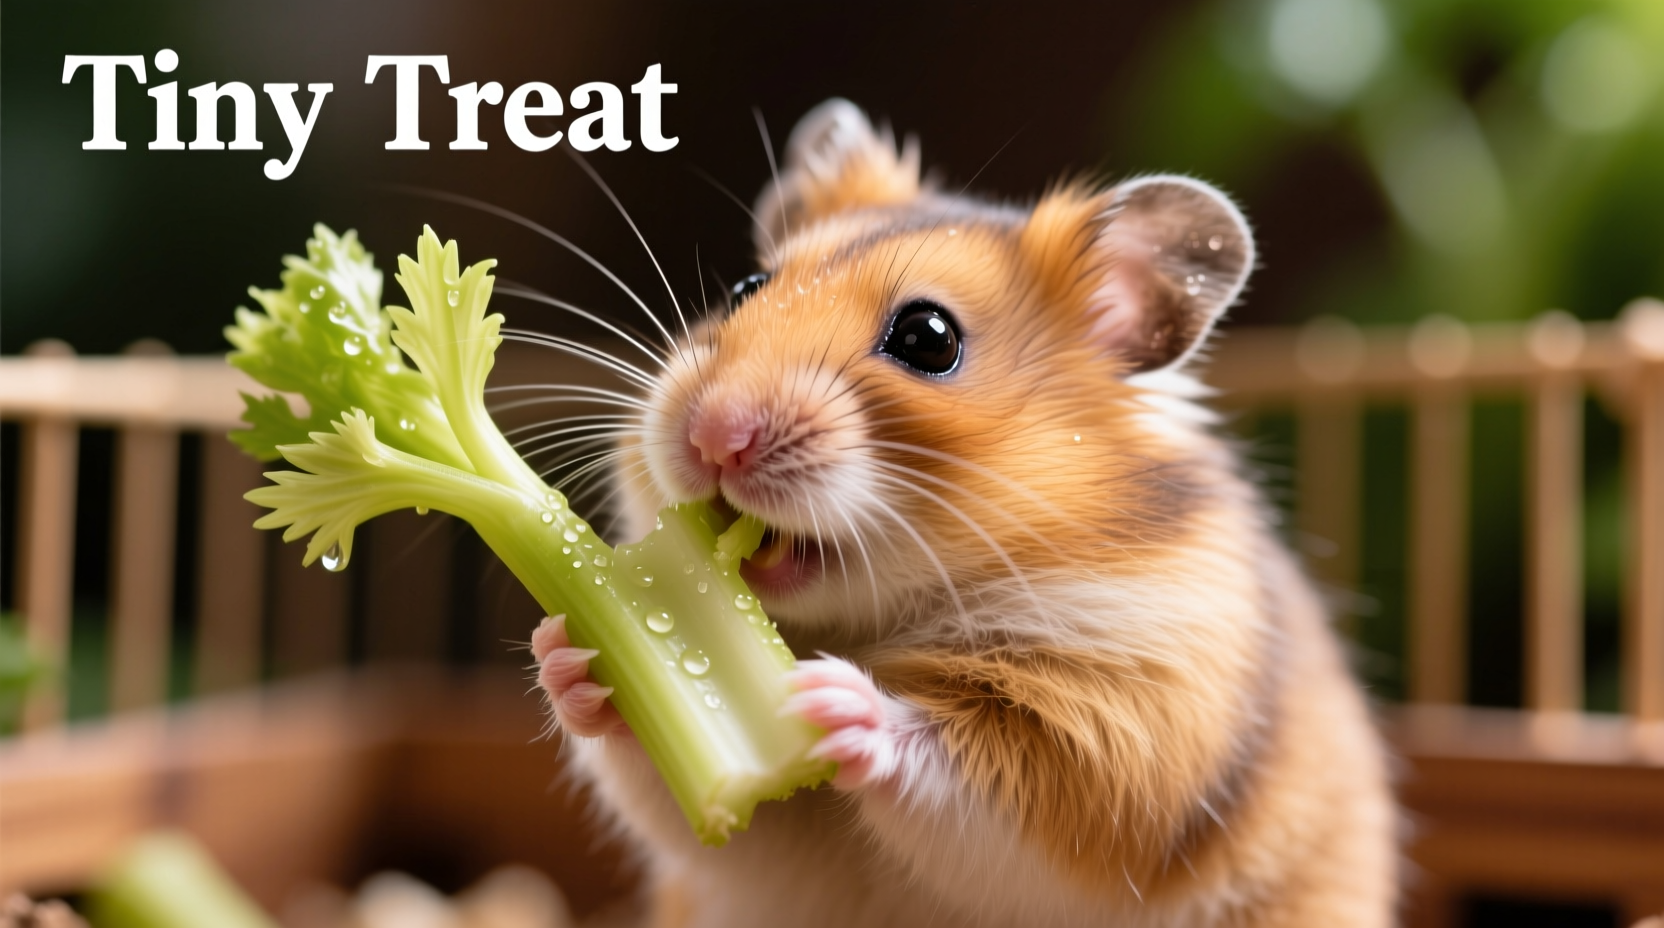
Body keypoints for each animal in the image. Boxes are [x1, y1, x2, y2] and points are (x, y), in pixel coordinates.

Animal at [530, 99, 1397, 927]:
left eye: (928, 337)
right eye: (746, 291)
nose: (714, 438)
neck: (877, 620)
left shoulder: (1122, 730)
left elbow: (977, 781)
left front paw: (833, 700)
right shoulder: (760, 838)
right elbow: (674, 797)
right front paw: (570, 654)